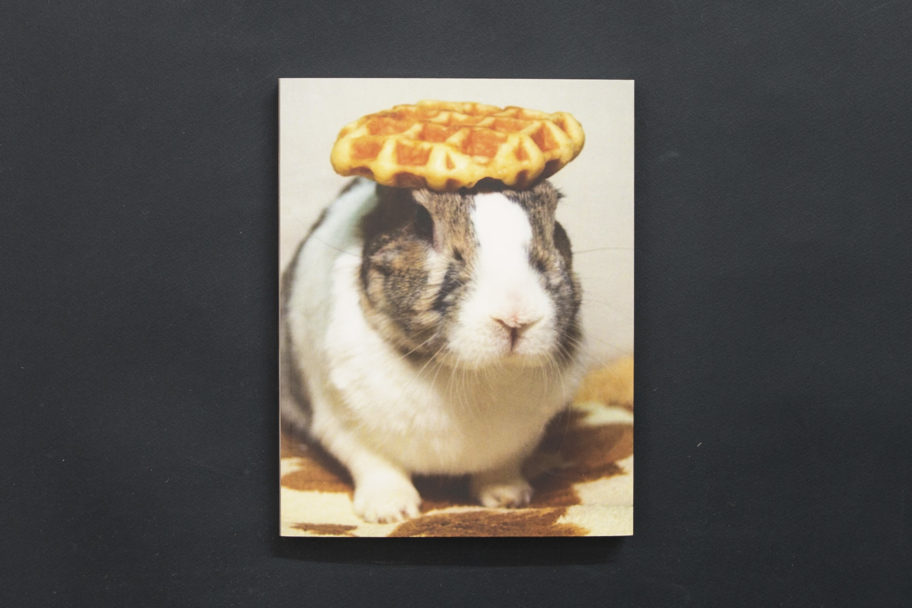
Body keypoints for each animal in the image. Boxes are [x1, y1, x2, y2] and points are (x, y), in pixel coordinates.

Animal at [281, 177, 586, 523]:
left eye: (554, 220)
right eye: (421, 220)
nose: (516, 317)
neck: (472, 374)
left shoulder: (521, 440)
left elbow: (501, 468)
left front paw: (510, 498)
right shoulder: (343, 425)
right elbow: (376, 465)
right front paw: (389, 511)